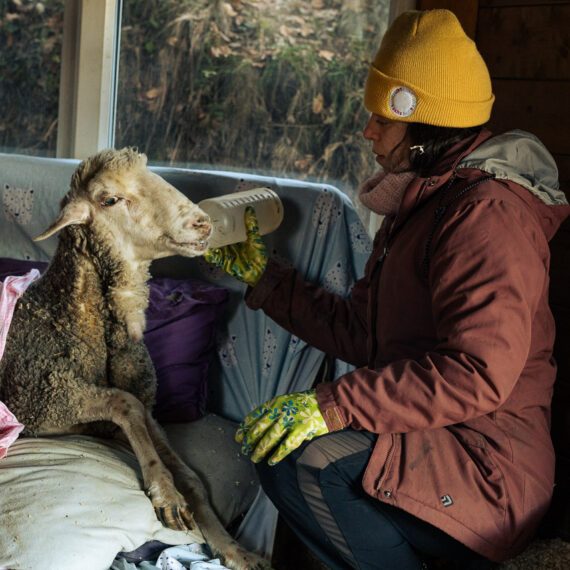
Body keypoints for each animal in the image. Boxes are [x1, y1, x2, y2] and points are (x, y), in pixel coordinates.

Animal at [0, 148, 272, 568]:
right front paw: (166, 492)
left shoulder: (134, 415)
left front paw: (234, 549)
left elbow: (188, 474)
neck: (74, 313)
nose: (202, 222)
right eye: (110, 199)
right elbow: (124, 402)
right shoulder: (48, 401)